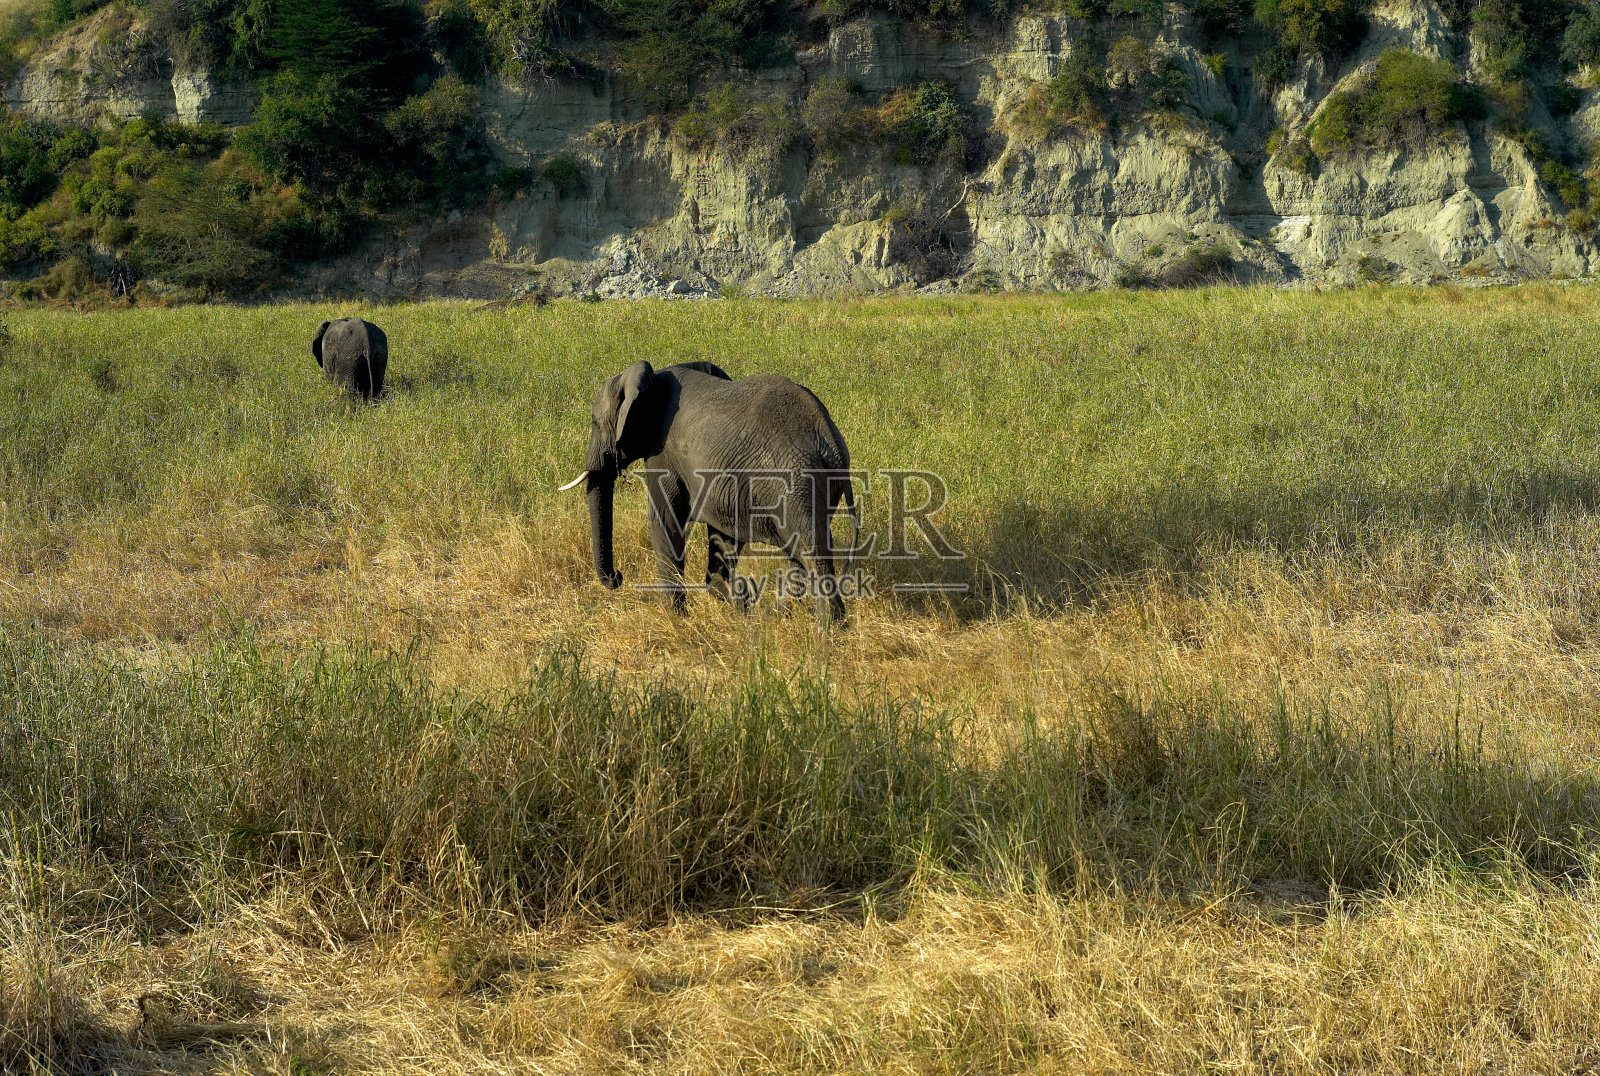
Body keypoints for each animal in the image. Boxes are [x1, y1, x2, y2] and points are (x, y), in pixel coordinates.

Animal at [563, 358, 864, 618]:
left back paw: (828, 628)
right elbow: (723, 531)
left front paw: (676, 619)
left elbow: (664, 521)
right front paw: (738, 600)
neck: (652, 377)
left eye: (594, 421)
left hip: (794, 482)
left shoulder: (663, 453)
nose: (617, 577)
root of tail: (829, 438)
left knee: (810, 549)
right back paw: (777, 614)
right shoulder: (727, 480)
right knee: (799, 550)